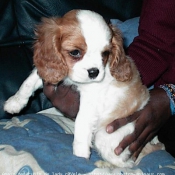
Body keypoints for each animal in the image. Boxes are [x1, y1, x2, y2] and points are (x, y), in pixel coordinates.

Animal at [3, 9, 163, 168]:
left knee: (127, 164)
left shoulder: (90, 99)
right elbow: (29, 81)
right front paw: (15, 102)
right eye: (75, 52)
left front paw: (79, 154)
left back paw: (104, 165)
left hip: (107, 135)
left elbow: (81, 120)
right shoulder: (51, 70)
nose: (94, 72)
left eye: (105, 54)